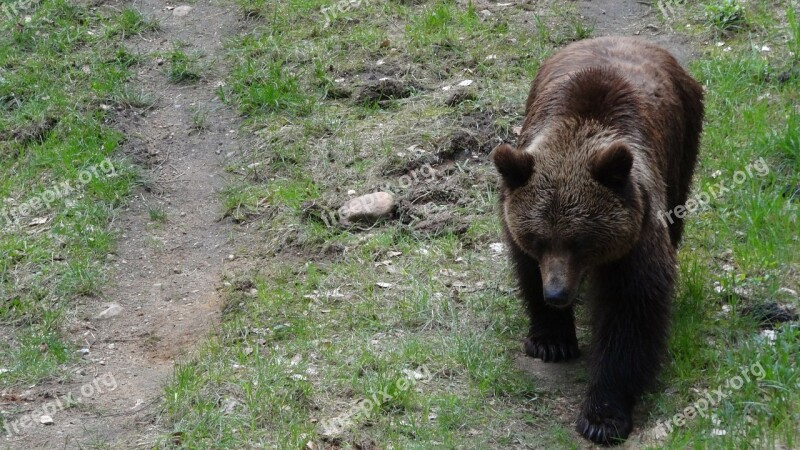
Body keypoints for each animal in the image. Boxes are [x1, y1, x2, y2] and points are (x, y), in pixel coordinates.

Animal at [490, 37, 704, 444]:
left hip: (685, 139)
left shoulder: (637, 235)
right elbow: (526, 270)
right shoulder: (517, 214)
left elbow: (629, 313)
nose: (557, 293)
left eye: (580, 241)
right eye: (539, 240)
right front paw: (551, 340)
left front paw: (602, 417)